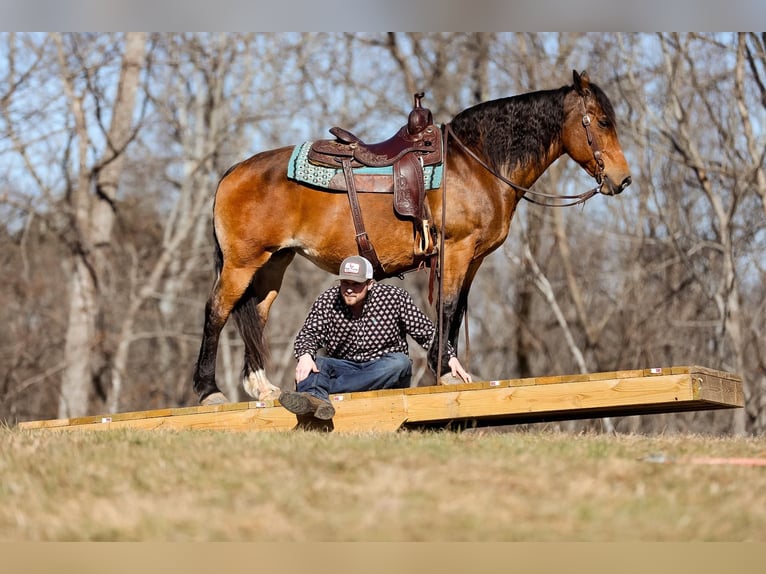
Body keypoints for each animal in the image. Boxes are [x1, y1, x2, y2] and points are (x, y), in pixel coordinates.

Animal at [195, 70, 632, 408]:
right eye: (602, 122)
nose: (623, 179)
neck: (475, 163)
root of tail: (233, 171)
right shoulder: (456, 249)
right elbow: (448, 307)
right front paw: (444, 373)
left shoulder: (472, 258)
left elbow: (456, 311)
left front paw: (444, 370)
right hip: (242, 263)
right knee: (217, 311)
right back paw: (208, 391)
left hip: (273, 265)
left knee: (254, 317)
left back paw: (262, 387)